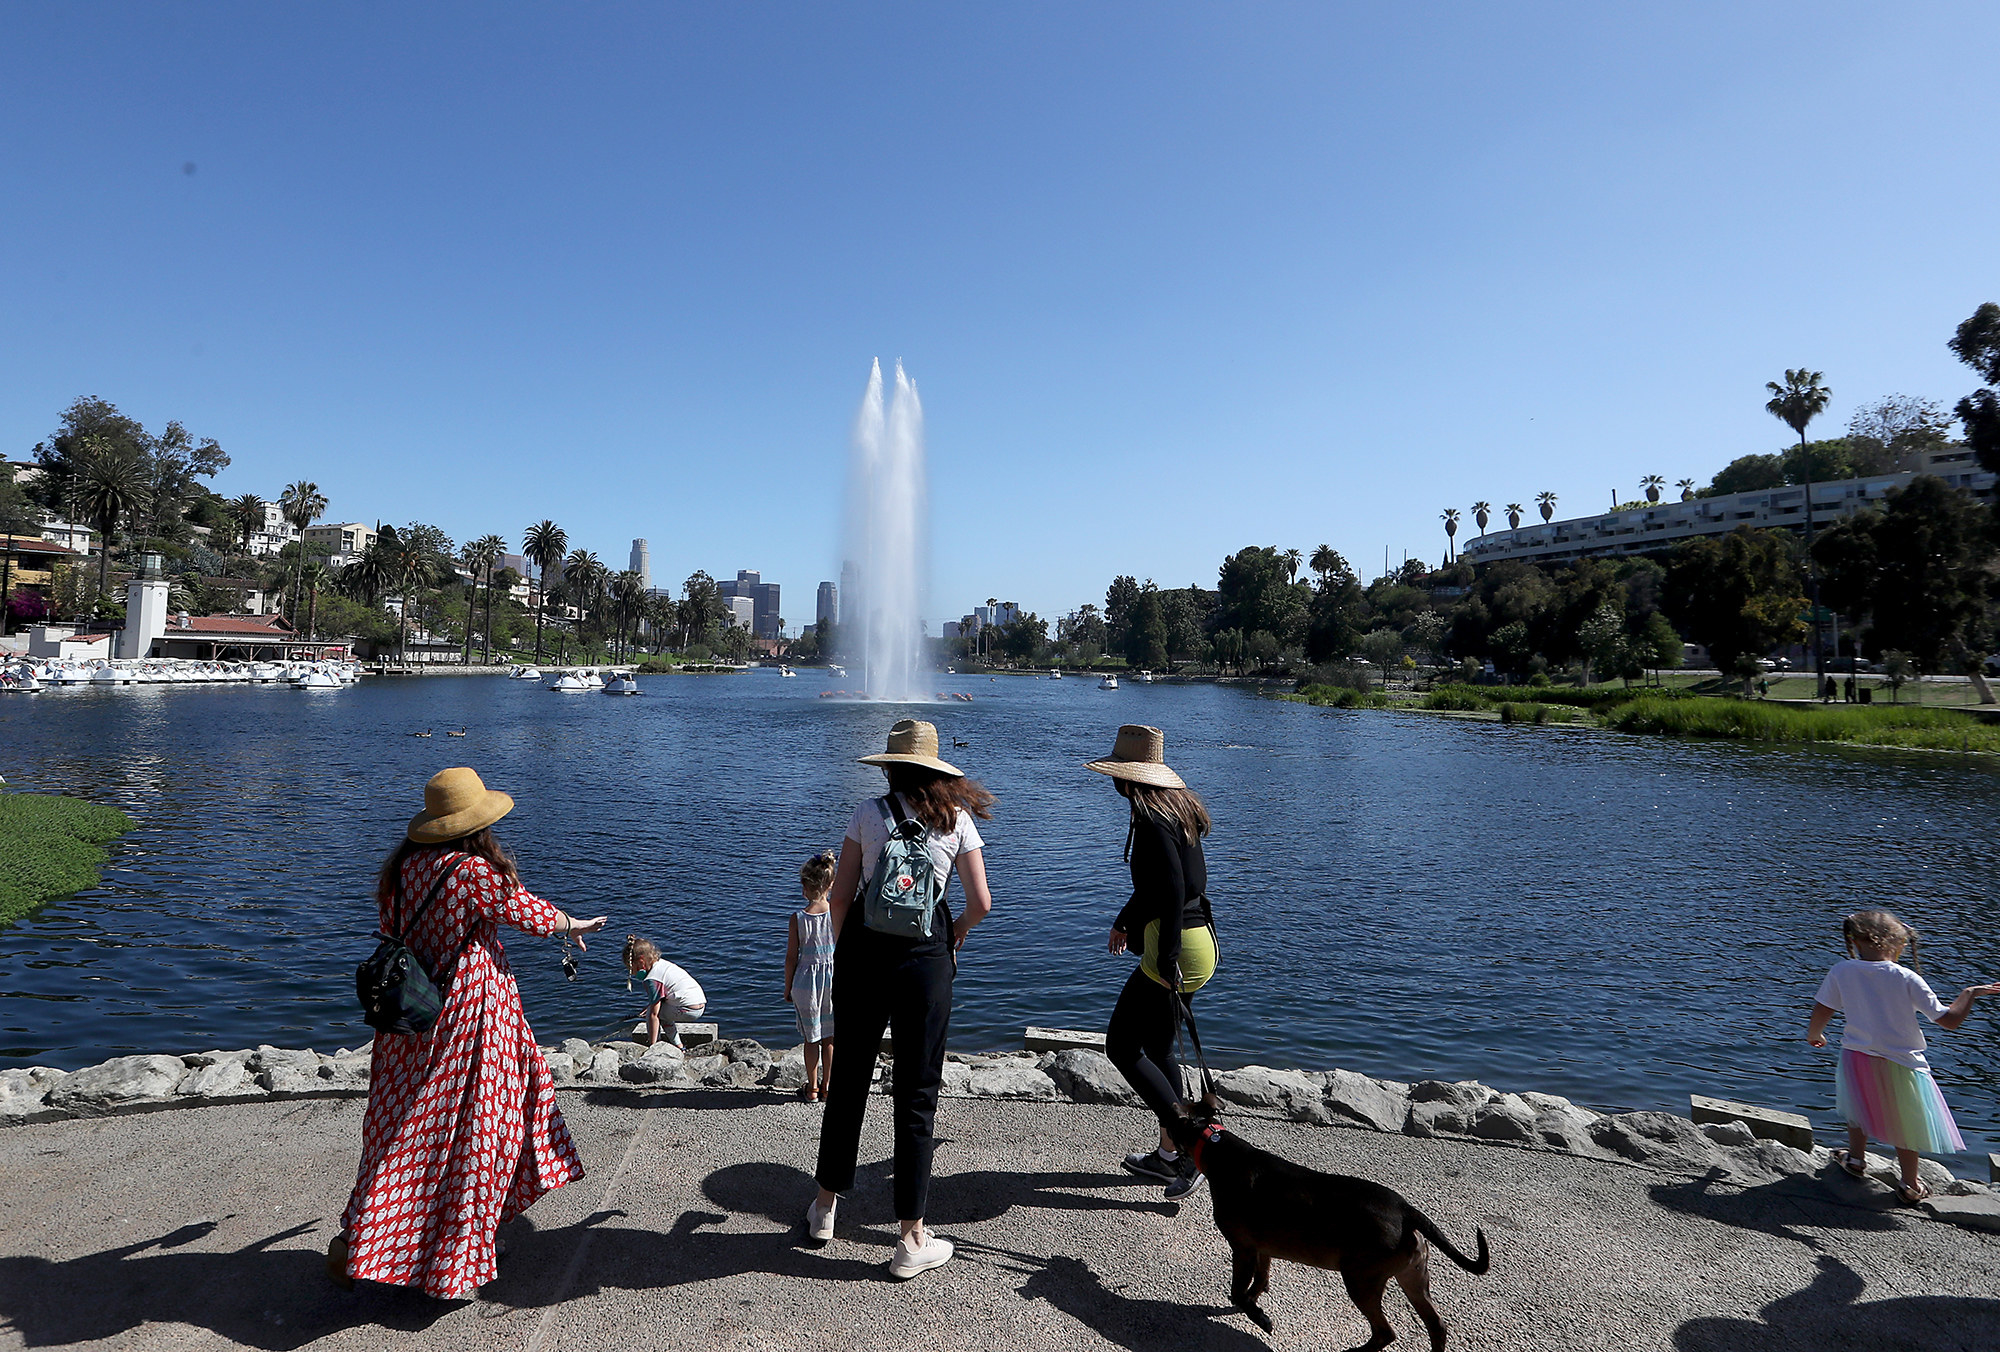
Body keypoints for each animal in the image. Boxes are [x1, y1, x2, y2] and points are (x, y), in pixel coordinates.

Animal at [1176, 1120, 1496, 1352]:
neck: (1222, 1151)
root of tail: (1405, 1210)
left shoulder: (1242, 1247)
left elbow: (1238, 1291)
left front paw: (1260, 1318)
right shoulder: (1261, 1248)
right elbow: (1259, 1282)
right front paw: (1254, 1304)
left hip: (1361, 1279)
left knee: (1385, 1333)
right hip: (1412, 1277)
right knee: (1437, 1326)